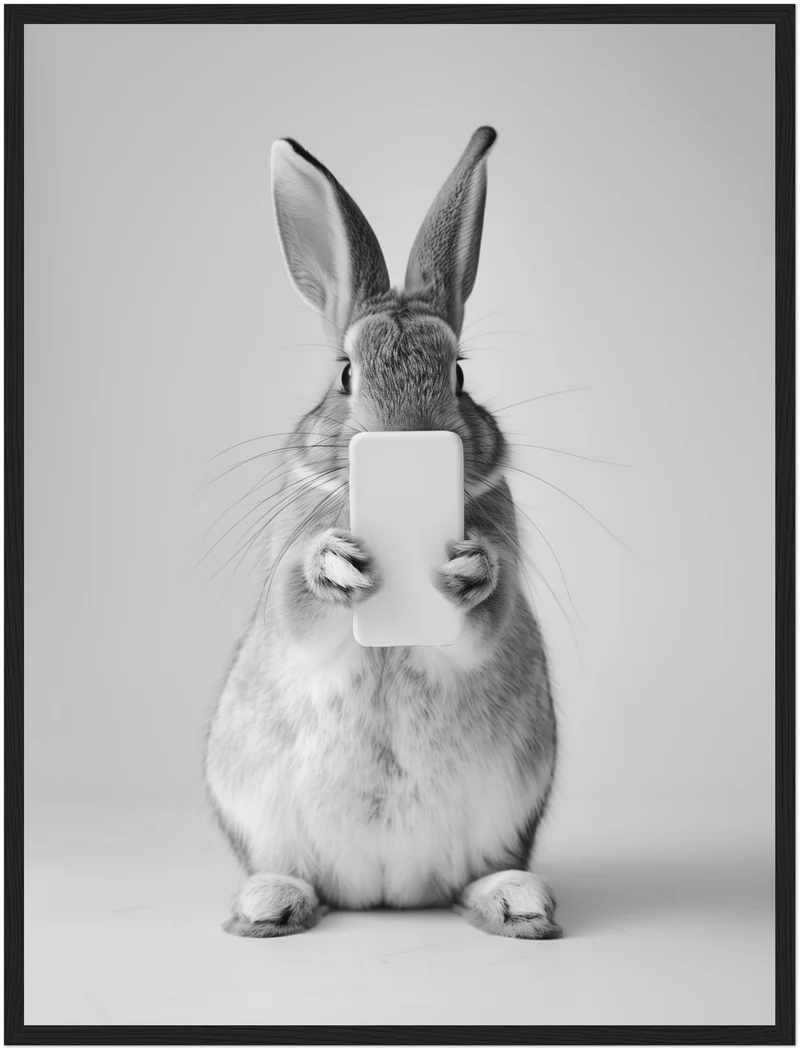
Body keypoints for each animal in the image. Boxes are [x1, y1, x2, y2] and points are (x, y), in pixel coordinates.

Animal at [204, 126, 560, 940]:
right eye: (344, 374)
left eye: (458, 373)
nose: (407, 435)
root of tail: (386, 895)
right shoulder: (287, 576)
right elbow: (299, 608)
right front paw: (336, 565)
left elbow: (486, 618)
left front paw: (469, 570)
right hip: (257, 810)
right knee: (297, 874)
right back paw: (270, 904)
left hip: (508, 811)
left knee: (472, 879)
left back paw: (514, 901)